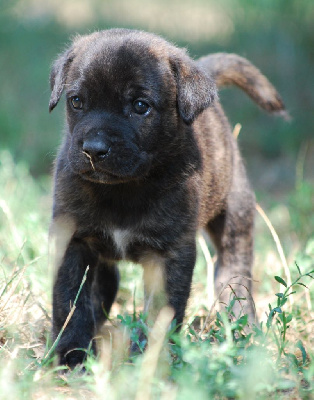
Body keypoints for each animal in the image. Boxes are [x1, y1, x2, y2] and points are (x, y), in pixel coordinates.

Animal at [49, 28, 288, 368]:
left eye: (140, 106)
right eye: (77, 101)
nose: (94, 150)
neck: (124, 189)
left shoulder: (170, 254)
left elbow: (160, 312)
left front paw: (146, 360)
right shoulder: (73, 240)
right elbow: (70, 300)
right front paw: (73, 355)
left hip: (235, 217)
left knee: (234, 274)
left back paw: (241, 327)